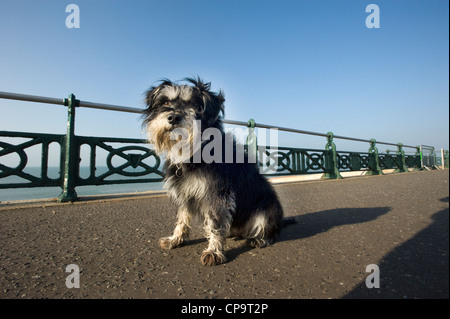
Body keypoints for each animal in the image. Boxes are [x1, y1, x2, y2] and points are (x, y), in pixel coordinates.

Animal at [142, 77, 294, 268]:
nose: (173, 117)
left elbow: (215, 223)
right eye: (166, 102)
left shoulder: (216, 195)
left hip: (267, 209)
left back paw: (260, 239)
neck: (194, 152)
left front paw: (214, 251)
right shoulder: (185, 193)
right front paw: (175, 239)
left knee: (270, 230)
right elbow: (182, 219)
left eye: (195, 104)